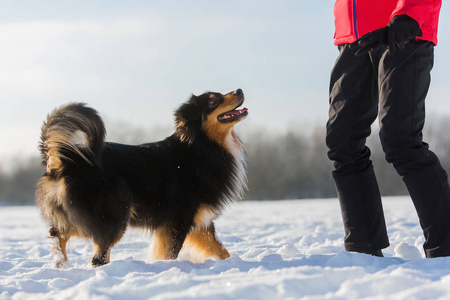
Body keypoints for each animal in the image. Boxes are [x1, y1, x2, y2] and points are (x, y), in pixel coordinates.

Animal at [36, 88, 248, 268]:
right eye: (213, 100)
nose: (239, 90)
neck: (200, 146)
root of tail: (65, 160)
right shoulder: (178, 221)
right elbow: (169, 253)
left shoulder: (199, 222)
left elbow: (221, 251)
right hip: (115, 216)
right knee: (97, 257)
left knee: (57, 233)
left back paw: (61, 263)